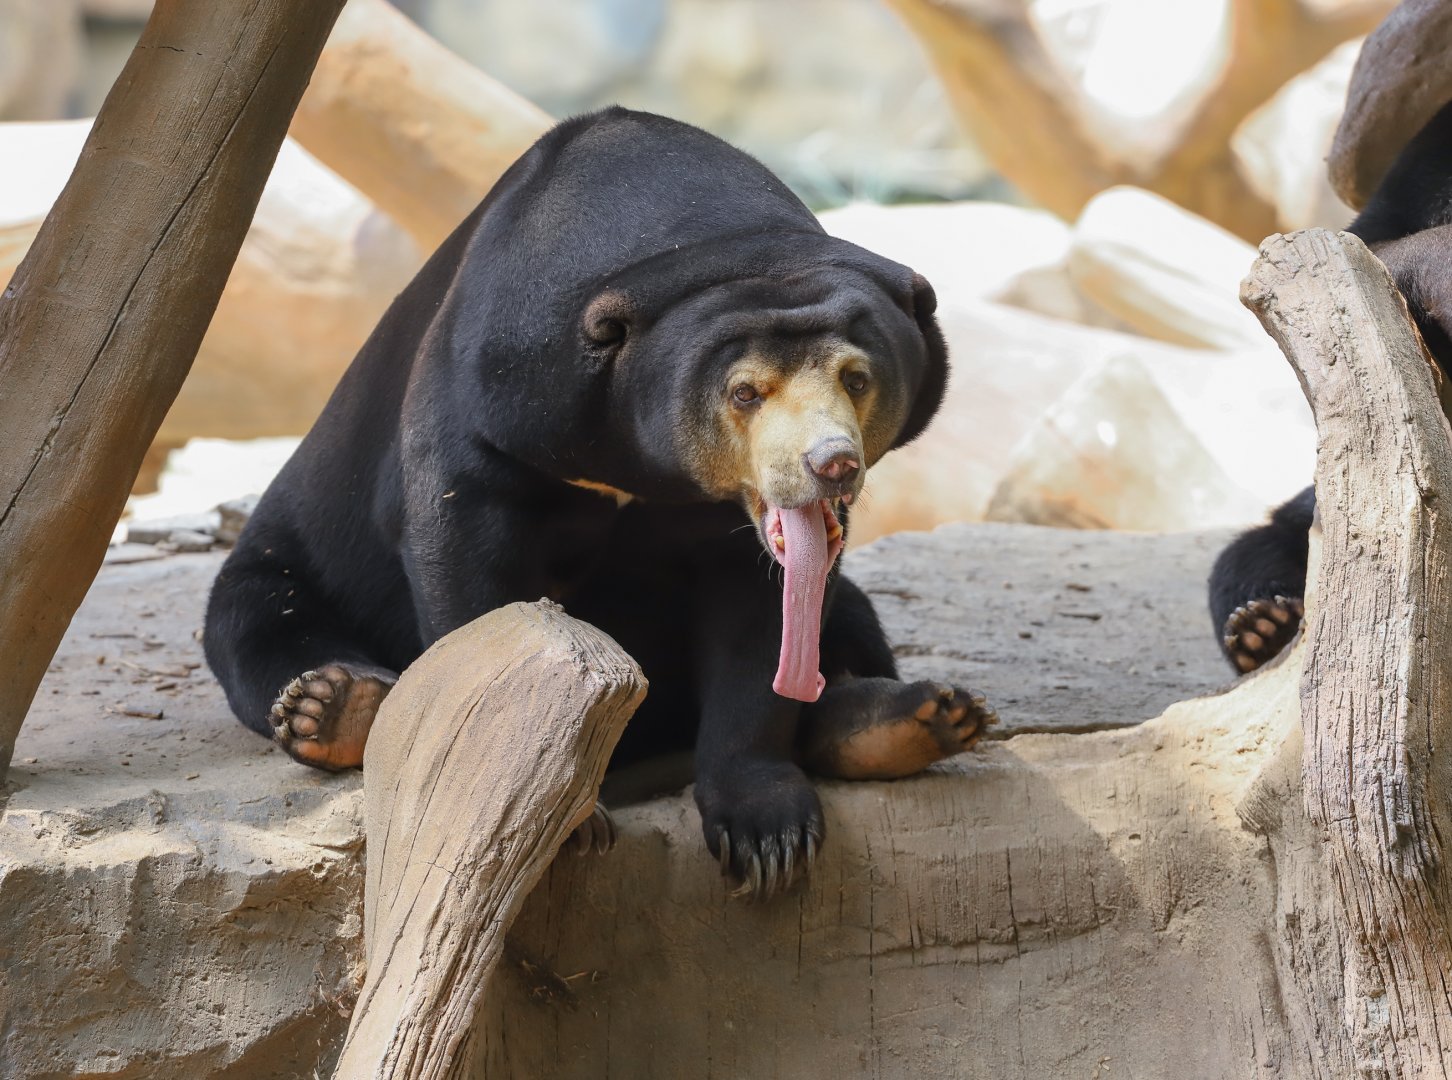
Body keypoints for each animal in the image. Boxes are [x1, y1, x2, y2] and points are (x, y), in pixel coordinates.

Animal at [203, 107, 998, 901]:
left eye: (857, 378)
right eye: (745, 392)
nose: (830, 465)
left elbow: (763, 615)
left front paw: (767, 836)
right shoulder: (494, 392)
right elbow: (468, 561)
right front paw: (554, 821)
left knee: (853, 615)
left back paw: (917, 718)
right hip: (284, 564)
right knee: (260, 623)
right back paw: (334, 706)